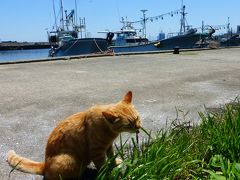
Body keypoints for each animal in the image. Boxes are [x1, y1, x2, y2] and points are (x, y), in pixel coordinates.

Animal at [7, 90, 141, 179]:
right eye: (130, 124)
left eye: (137, 118)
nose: (139, 128)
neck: (109, 130)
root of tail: (45, 165)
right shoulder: (96, 151)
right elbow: (102, 166)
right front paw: (109, 175)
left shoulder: (108, 146)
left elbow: (111, 156)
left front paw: (114, 164)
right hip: (69, 160)